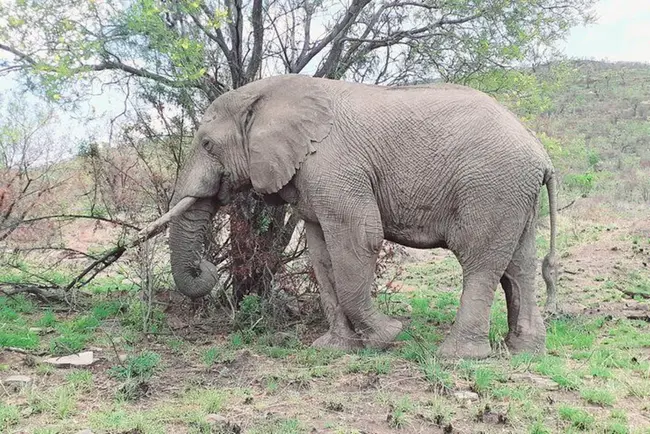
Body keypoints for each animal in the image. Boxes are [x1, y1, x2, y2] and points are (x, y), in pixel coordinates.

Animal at [140, 73, 556, 360]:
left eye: (208, 145)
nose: (206, 268)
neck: (269, 93)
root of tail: (541, 152)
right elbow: (322, 256)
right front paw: (334, 347)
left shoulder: (335, 167)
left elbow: (358, 241)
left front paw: (388, 336)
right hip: (515, 194)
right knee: (519, 264)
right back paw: (524, 350)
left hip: (491, 187)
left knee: (479, 261)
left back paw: (457, 356)